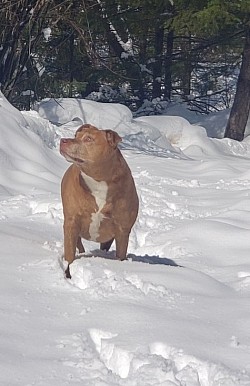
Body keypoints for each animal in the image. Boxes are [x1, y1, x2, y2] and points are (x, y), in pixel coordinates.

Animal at [59, 123, 140, 278]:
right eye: (76, 136)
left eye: (88, 139)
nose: (62, 140)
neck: (98, 182)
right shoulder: (72, 222)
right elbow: (69, 254)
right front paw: (68, 272)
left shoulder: (122, 230)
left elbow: (121, 255)